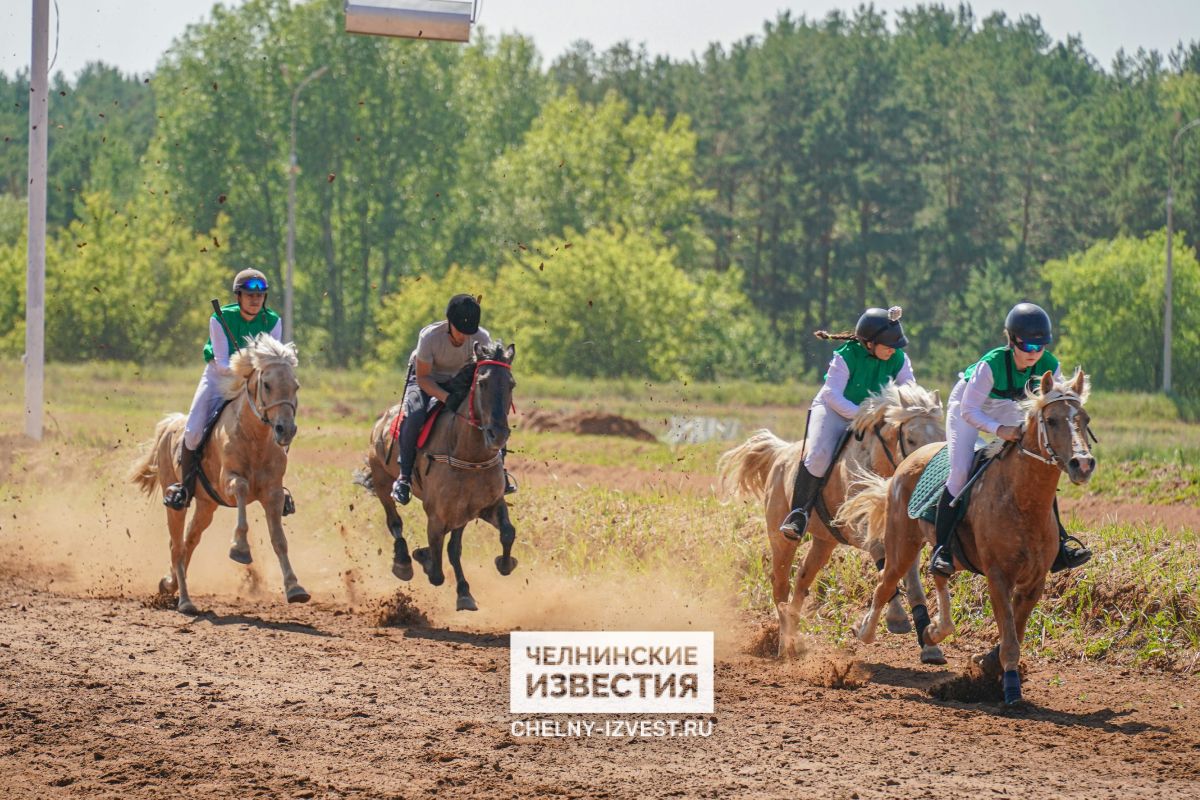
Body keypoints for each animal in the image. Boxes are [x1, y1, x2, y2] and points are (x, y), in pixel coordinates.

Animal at [126, 331, 302, 614]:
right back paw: (185, 601)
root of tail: (170, 425)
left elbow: (279, 540)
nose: (285, 429)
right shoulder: (228, 483)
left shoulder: (273, 494)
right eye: (267, 385)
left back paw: (169, 584)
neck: (255, 439)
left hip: (207, 505)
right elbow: (241, 489)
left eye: (295, 386)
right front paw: (240, 548)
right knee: (176, 545)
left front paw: (295, 587)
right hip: (176, 503)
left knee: (189, 541)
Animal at [360, 340, 520, 614]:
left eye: (511, 384)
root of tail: (382, 420)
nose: (497, 435)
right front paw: (422, 556)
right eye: (482, 383)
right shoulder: (437, 515)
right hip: (381, 481)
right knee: (394, 522)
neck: (469, 455)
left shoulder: (481, 507)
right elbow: (436, 569)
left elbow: (505, 533)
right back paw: (403, 561)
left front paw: (498, 567)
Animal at [720, 381, 945, 662]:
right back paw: (784, 646)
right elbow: (884, 565)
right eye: (912, 438)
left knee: (802, 581)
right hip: (781, 537)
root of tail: (781, 453)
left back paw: (793, 638)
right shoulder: (860, 529)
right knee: (780, 585)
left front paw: (929, 644)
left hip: (823, 542)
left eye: (942, 434)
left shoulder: (906, 536)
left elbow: (911, 583)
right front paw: (895, 618)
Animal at [844, 371, 1099, 705]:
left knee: (938, 574)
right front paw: (1011, 689)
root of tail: (907, 462)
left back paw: (935, 631)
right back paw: (866, 631)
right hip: (902, 543)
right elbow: (1010, 639)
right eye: (1053, 420)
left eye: (1084, 418)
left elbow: (1015, 630)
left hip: (945, 552)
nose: (1082, 464)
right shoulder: (998, 576)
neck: (1023, 500)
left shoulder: (1035, 581)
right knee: (885, 584)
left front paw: (988, 664)